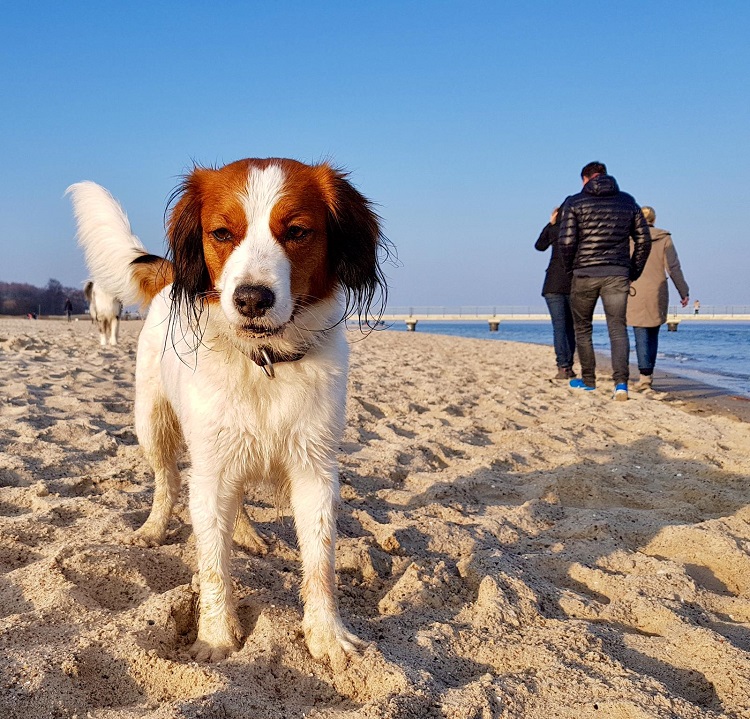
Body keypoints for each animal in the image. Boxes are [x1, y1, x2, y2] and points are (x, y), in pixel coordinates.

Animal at [66, 160, 388, 668]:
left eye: (296, 231)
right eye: (221, 232)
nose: (252, 298)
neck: (265, 362)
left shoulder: (314, 472)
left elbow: (321, 563)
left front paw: (326, 635)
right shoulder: (212, 470)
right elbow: (213, 565)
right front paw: (217, 636)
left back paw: (249, 536)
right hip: (153, 424)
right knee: (167, 482)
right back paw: (153, 528)